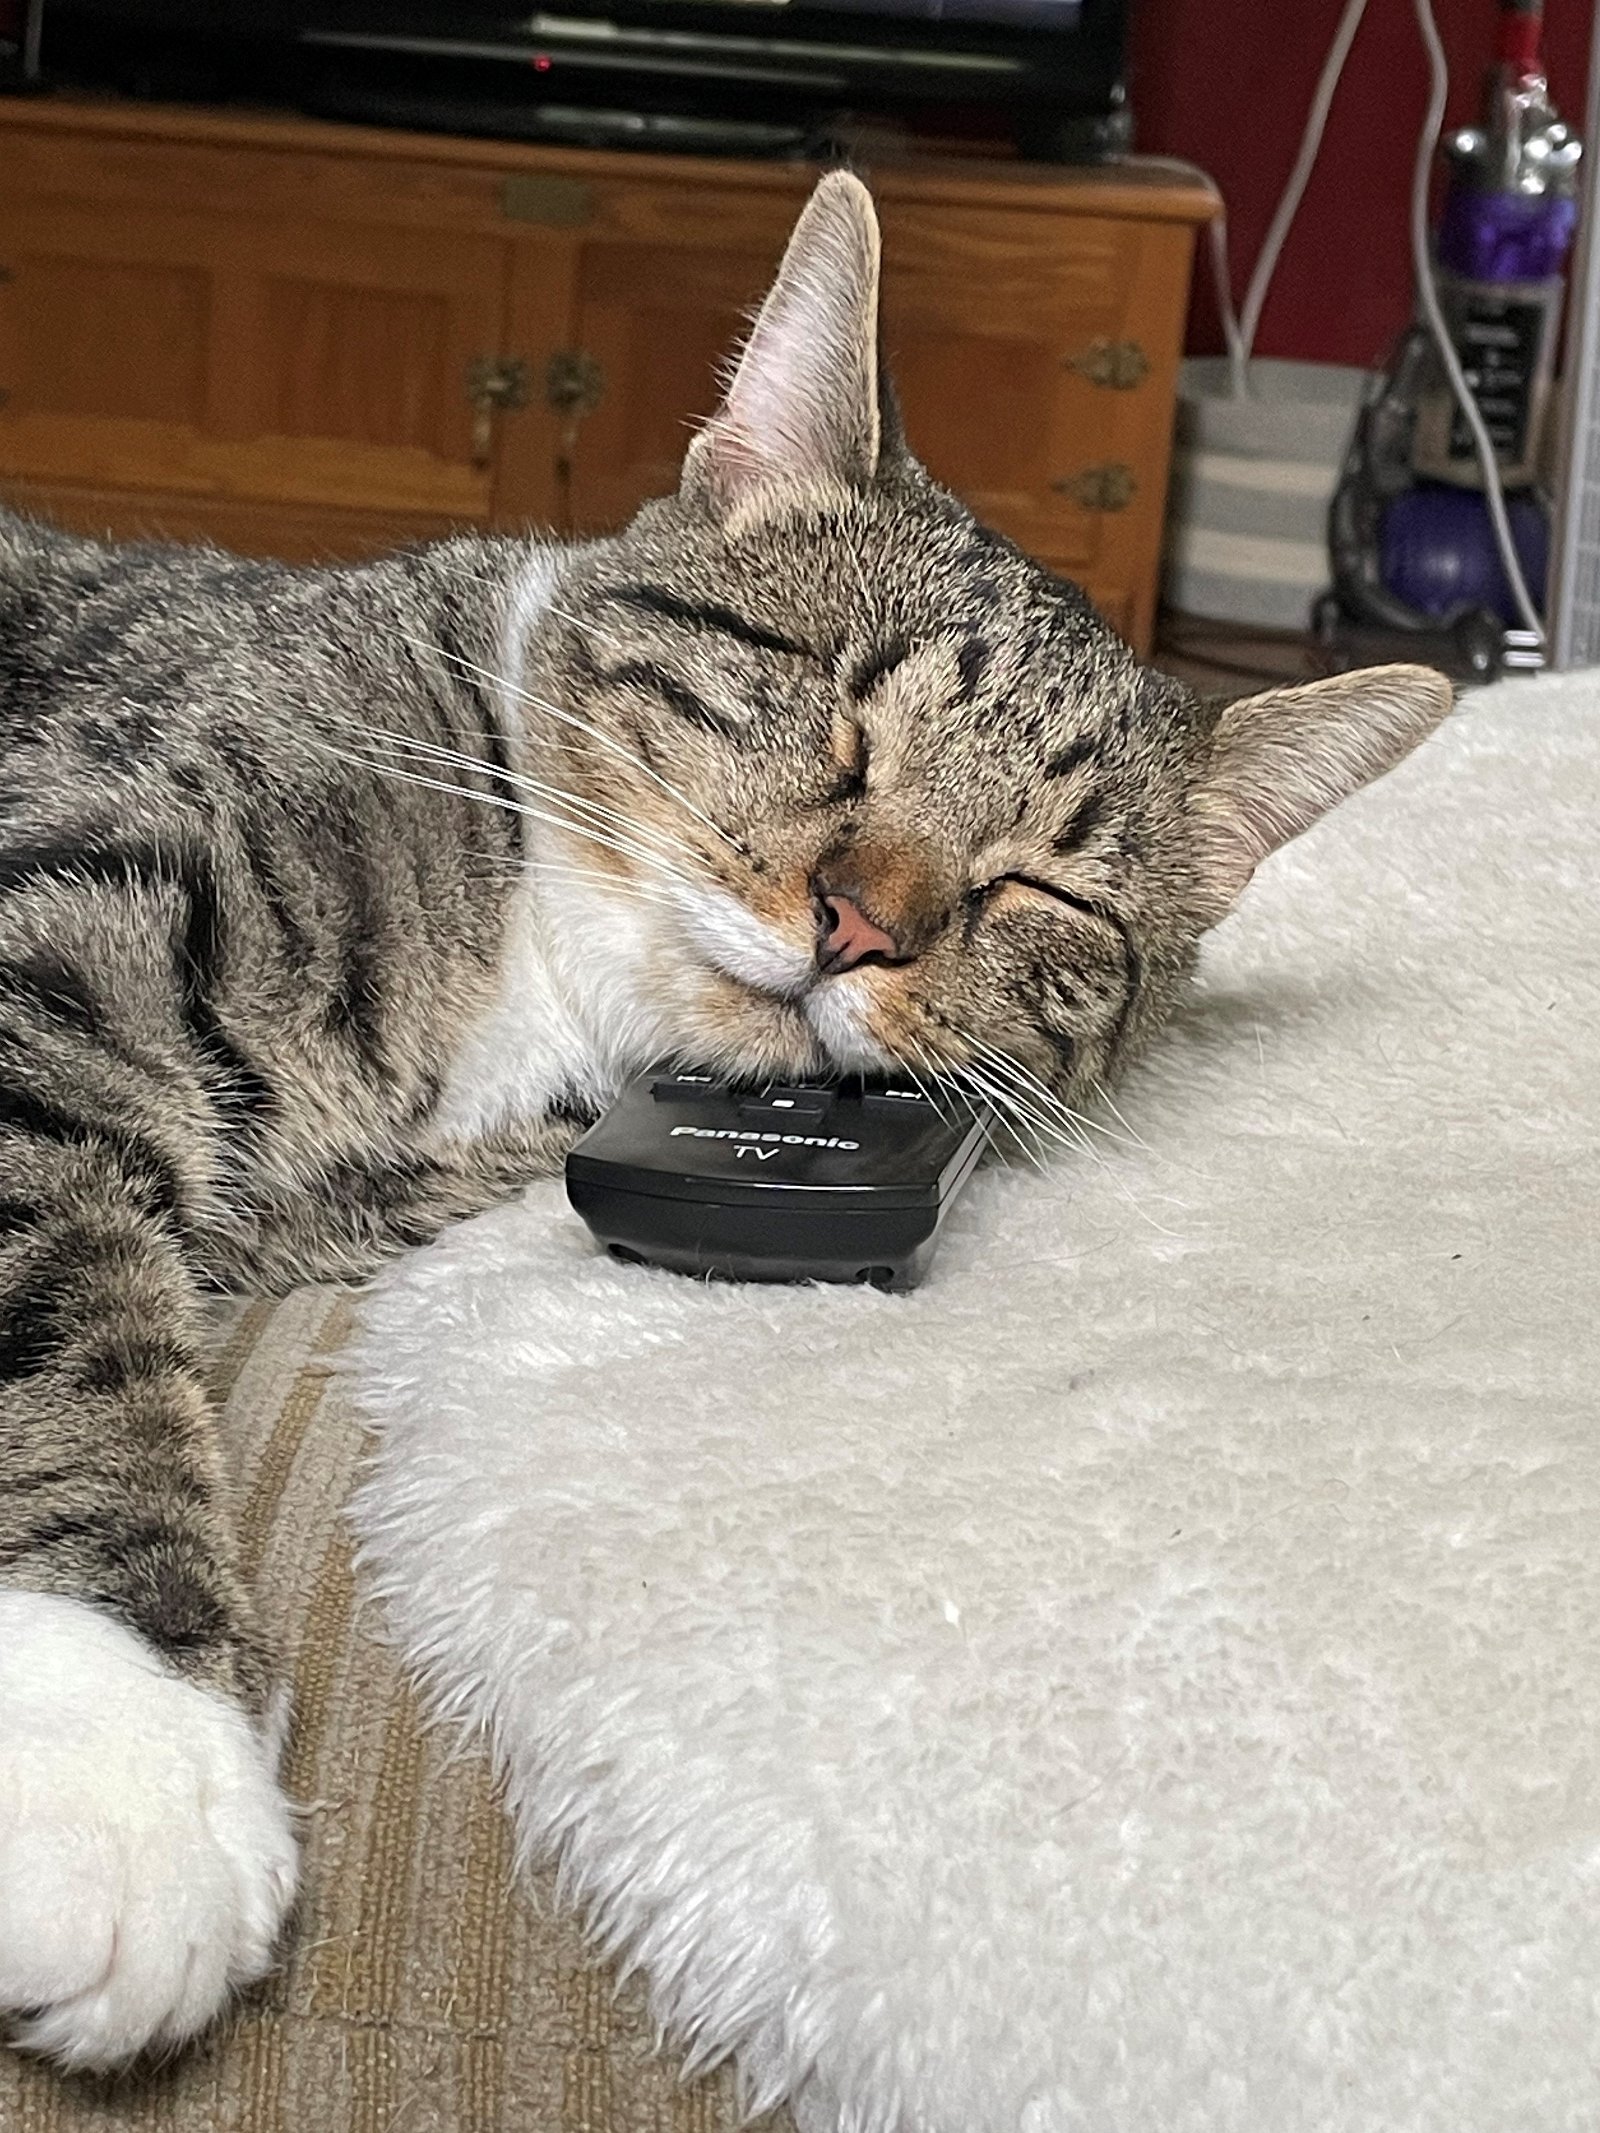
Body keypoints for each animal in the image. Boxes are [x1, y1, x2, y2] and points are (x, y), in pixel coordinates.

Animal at [0, 170, 1451, 2073]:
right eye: (842, 707)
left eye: (1038, 887)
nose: (861, 923)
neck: (543, 964)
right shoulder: (75, 899)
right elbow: (64, 1301)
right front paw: (112, 1744)